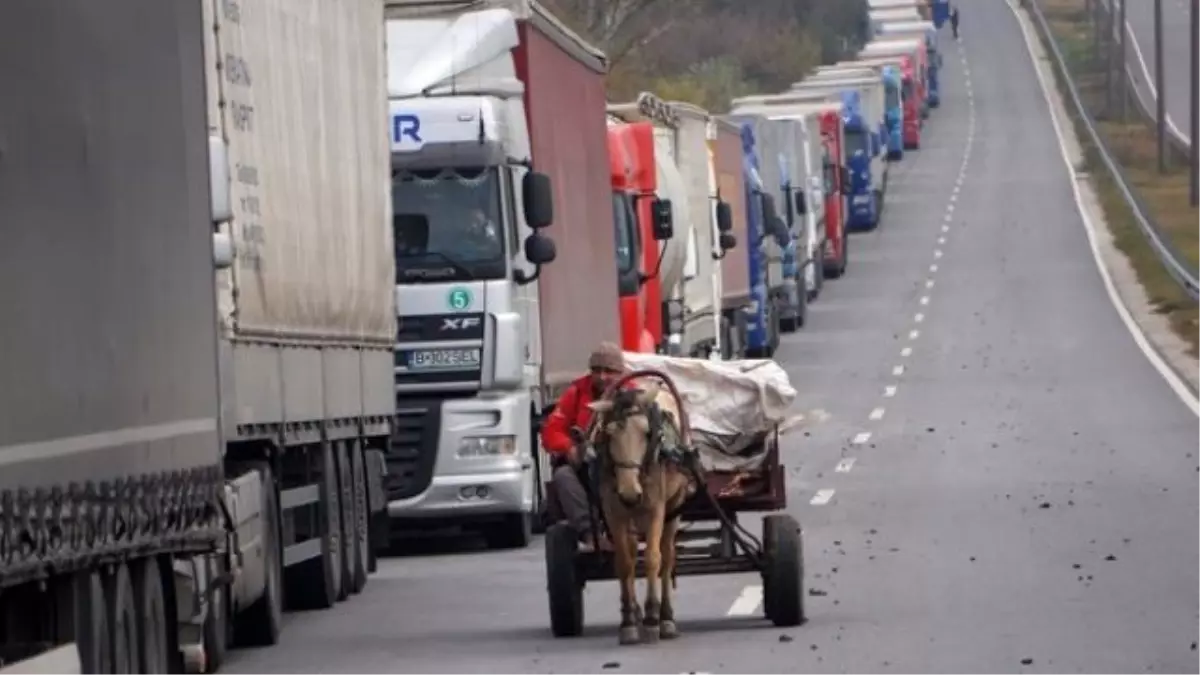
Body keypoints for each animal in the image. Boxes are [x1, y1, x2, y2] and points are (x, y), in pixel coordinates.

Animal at [583, 374, 696, 643]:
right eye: (609, 434)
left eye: (646, 433)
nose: (630, 493)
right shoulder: (614, 511)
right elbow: (624, 563)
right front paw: (628, 621)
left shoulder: (656, 508)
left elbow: (654, 559)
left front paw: (653, 617)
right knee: (634, 553)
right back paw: (636, 611)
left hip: (674, 505)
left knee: (667, 556)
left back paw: (665, 617)